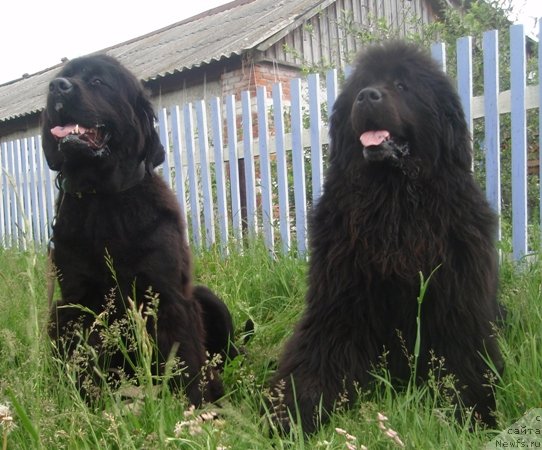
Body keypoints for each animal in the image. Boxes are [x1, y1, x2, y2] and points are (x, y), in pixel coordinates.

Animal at [42, 54, 238, 406]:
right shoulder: (78, 299)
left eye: (98, 81)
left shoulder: (165, 293)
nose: (56, 87)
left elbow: (184, 353)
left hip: (209, 299)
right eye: (65, 76)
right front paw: (89, 399)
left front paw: (200, 402)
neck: (104, 198)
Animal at [270, 41, 506, 432]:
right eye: (362, 84)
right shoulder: (339, 304)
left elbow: (465, 357)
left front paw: (474, 413)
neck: (394, 203)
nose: (367, 96)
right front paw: (292, 412)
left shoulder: (457, 303)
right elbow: (317, 357)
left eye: (401, 85)